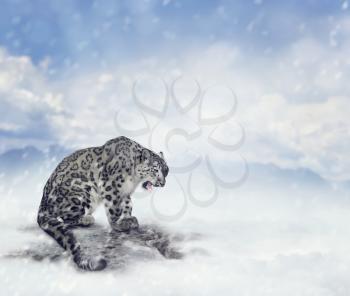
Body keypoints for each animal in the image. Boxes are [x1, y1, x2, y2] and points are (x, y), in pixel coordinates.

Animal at [37, 136, 169, 270]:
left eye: (166, 170)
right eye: (154, 169)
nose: (162, 183)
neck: (134, 180)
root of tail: (43, 203)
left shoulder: (125, 191)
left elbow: (128, 204)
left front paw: (128, 218)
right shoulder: (111, 185)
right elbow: (114, 208)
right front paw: (118, 224)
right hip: (83, 194)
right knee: (64, 218)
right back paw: (87, 219)